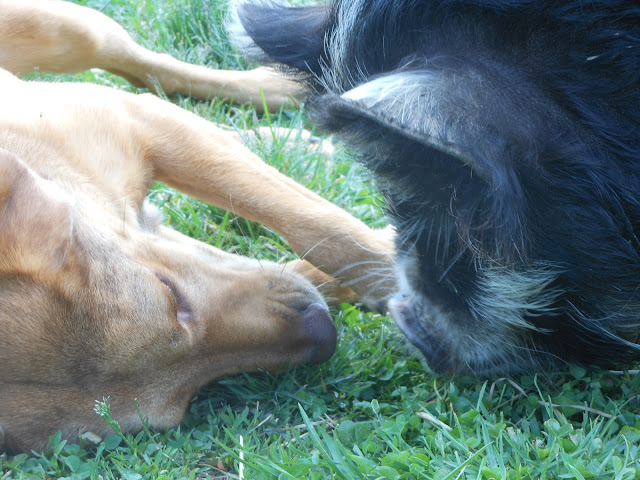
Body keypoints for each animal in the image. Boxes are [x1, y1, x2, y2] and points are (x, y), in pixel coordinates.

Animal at [0, 0, 395, 452]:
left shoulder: (148, 124)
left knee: (149, 67)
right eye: (185, 400)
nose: (324, 335)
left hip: (67, 30)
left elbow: (320, 227)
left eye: (171, 294)